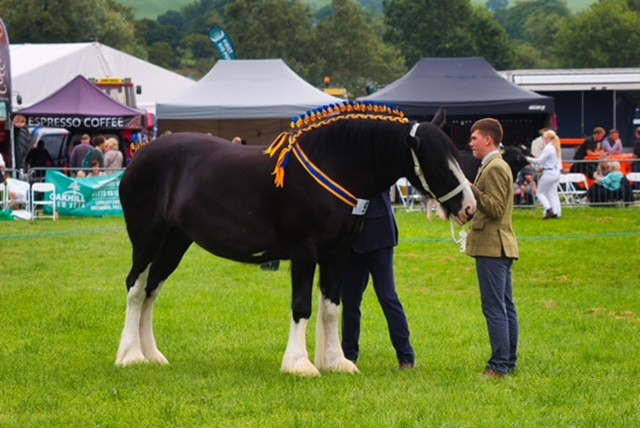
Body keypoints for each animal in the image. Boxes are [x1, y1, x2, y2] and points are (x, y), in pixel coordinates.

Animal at [115, 103, 477, 376]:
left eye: (458, 156)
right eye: (438, 163)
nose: (470, 208)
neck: (332, 168)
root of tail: (140, 155)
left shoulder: (338, 254)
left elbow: (331, 308)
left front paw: (336, 362)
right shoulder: (305, 252)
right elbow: (302, 306)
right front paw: (299, 364)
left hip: (175, 242)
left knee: (151, 290)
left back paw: (152, 355)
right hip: (147, 239)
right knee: (135, 288)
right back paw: (130, 355)